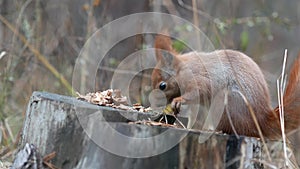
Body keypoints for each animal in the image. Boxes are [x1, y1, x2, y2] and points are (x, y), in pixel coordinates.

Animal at [151, 33, 300, 139]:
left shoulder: (199, 80)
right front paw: (187, 124)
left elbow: (196, 91)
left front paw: (178, 100)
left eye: (162, 85)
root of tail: (259, 122)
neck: (183, 69)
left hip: (225, 103)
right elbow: (193, 113)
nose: (154, 102)